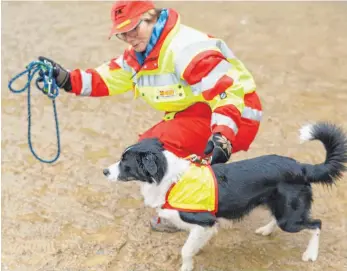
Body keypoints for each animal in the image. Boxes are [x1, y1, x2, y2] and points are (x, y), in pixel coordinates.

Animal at [103, 124, 347, 271]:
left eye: (125, 162)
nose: (104, 171)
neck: (169, 178)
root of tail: (301, 166)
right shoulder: (204, 227)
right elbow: (193, 244)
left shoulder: (204, 222)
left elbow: (185, 250)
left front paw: (187, 265)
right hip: (281, 208)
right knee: (280, 218)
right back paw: (266, 230)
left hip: (290, 220)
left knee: (316, 224)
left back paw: (310, 254)